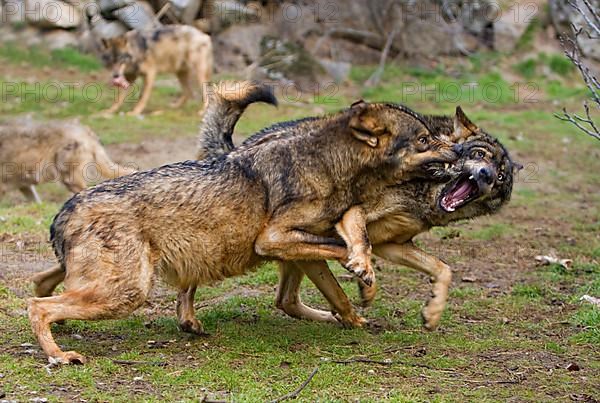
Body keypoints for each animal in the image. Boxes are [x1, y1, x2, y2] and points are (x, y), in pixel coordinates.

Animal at [27, 81, 460, 362]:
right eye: (424, 141)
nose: (459, 152)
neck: (329, 163)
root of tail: (65, 210)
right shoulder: (273, 239)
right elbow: (342, 249)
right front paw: (363, 275)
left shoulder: (306, 245)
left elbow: (341, 280)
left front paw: (358, 308)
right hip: (127, 292)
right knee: (37, 305)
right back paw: (59, 355)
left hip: (106, 279)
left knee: (42, 283)